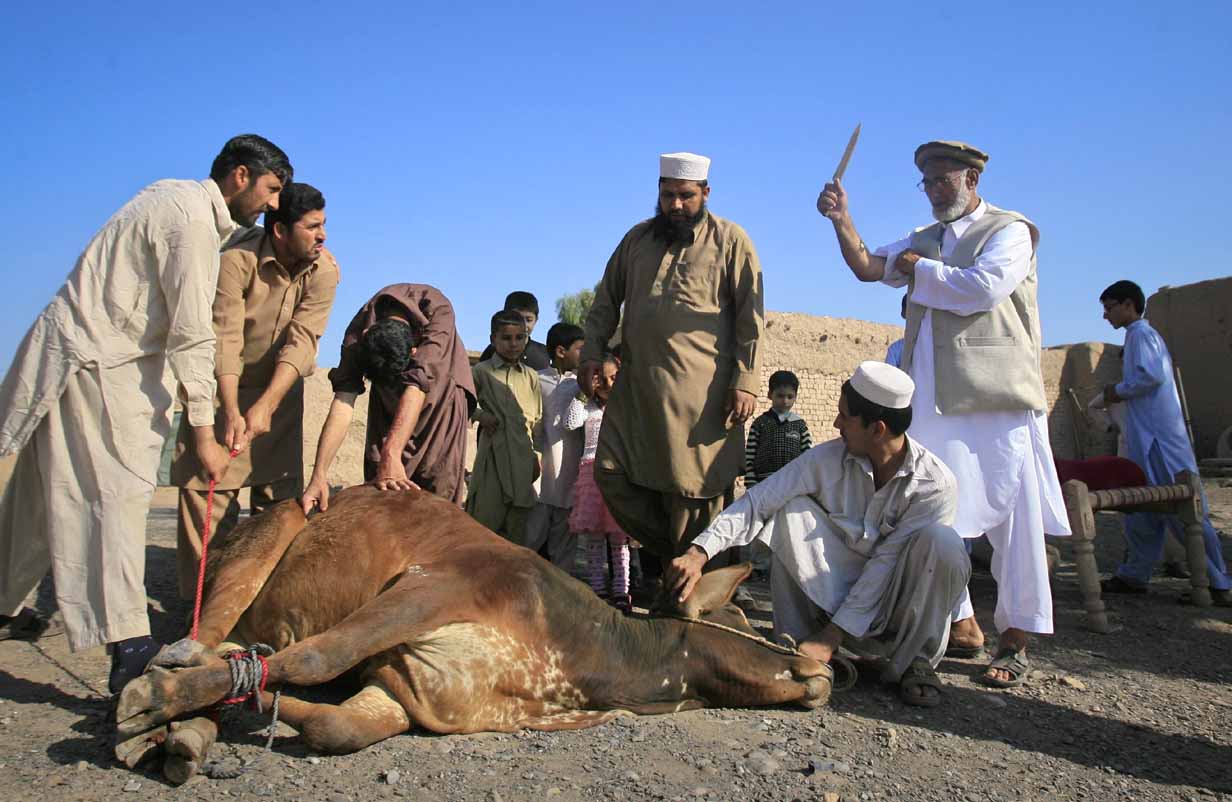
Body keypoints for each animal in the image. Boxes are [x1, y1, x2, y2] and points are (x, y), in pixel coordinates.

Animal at [115, 482, 832, 783]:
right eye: (737, 620)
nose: (820, 669)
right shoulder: (429, 587)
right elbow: (319, 656)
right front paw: (158, 701)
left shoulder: (413, 686)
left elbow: (338, 727)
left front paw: (247, 705)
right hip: (267, 537)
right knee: (200, 637)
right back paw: (158, 701)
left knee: (223, 649)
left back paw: (182, 737)